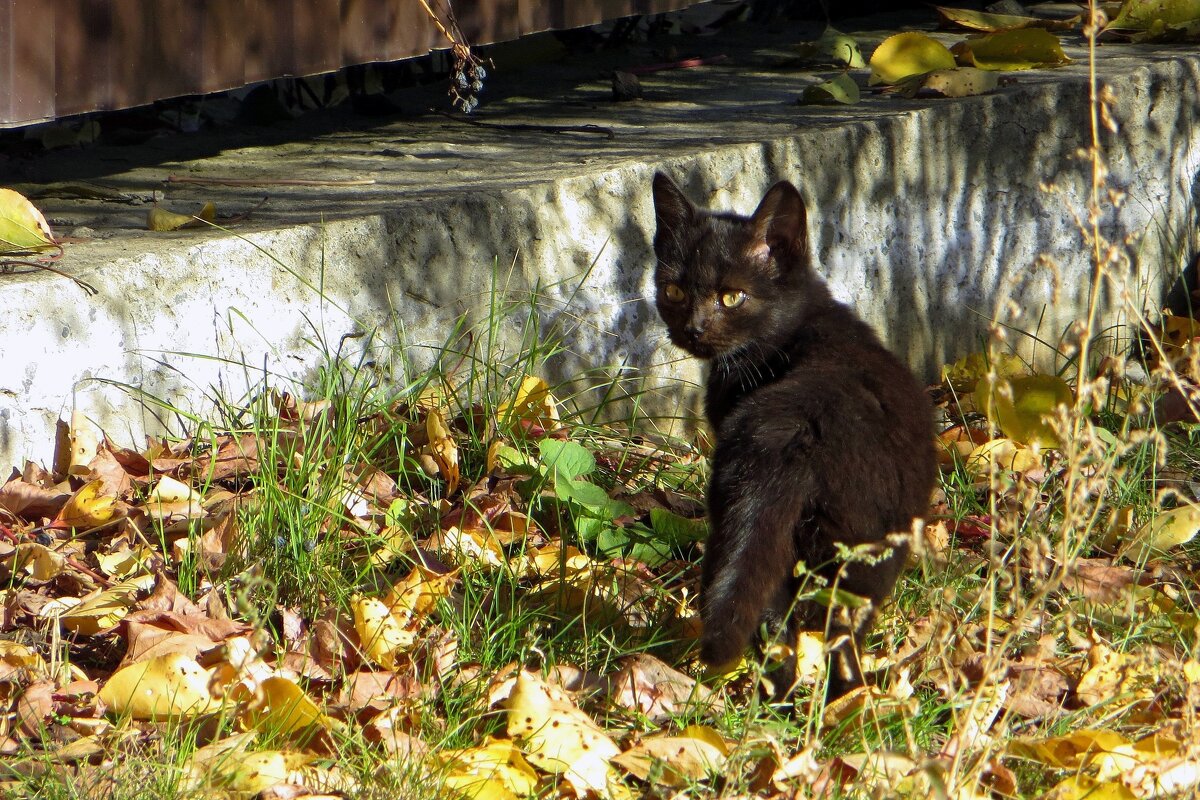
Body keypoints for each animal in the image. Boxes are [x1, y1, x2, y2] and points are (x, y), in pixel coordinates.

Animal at [648, 172, 936, 695]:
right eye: (675, 291)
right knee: (830, 630)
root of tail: (797, 428)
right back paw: (841, 703)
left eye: (732, 296)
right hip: (862, 551)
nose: (694, 329)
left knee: (776, 624)